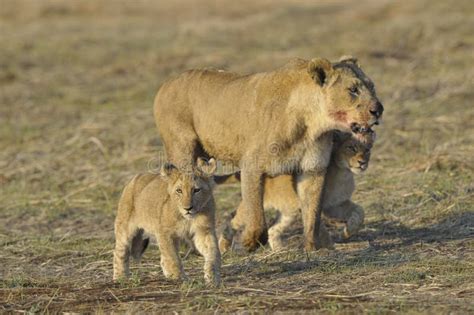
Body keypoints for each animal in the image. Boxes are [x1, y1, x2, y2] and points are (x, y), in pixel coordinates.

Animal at [154, 56, 384, 252]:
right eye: (353, 89)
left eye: (372, 86)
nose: (379, 109)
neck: (311, 124)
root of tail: (165, 84)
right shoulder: (252, 165)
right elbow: (256, 212)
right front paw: (250, 242)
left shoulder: (313, 169)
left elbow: (313, 214)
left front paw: (312, 247)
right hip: (182, 150)